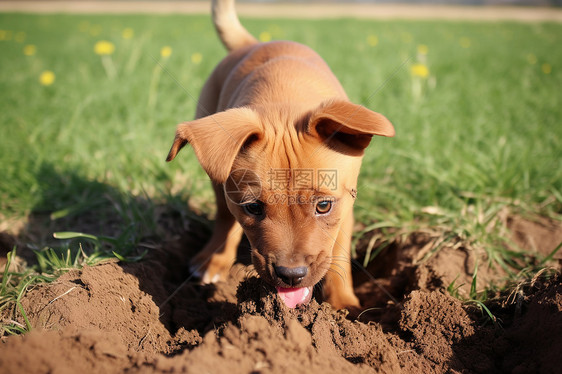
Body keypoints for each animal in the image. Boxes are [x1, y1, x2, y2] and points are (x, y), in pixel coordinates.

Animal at [166, 0, 394, 312]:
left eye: (324, 206)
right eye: (253, 207)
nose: (291, 275)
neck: (285, 99)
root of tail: (254, 43)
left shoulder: (346, 207)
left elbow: (339, 252)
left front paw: (343, 304)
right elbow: (229, 219)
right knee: (224, 217)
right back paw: (212, 260)